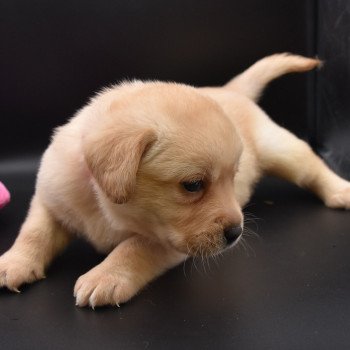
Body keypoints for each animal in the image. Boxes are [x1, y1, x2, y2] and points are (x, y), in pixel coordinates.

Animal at [0, 53, 350, 308]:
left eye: (233, 176)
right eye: (193, 185)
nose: (236, 233)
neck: (103, 202)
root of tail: (228, 90)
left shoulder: (168, 240)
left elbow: (136, 246)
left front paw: (106, 276)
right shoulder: (50, 197)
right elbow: (35, 232)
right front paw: (13, 262)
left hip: (281, 148)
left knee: (312, 166)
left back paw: (341, 191)